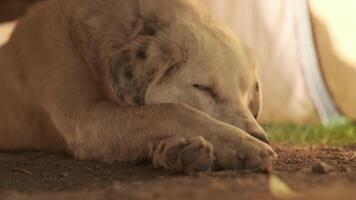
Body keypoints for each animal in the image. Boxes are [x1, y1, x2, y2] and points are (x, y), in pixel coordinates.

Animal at [0, 0, 276, 173]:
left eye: (245, 94)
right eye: (204, 88)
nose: (259, 136)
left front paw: (175, 151)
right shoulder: (85, 120)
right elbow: (170, 110)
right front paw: (241, 144)